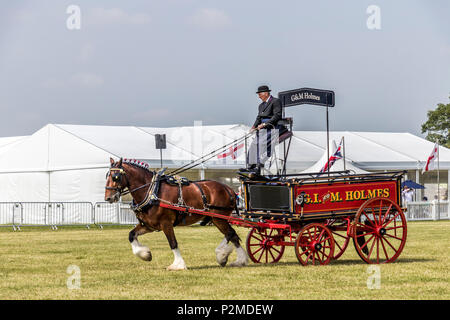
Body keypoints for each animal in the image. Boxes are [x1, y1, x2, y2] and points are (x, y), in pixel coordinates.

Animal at [103, 158, 248, 270]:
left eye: (116, 177)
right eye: (107, 176)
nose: (108, 198)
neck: (152, 191)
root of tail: (229, 189)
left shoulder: (166, 223)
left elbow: (173, 243)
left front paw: (178, 265)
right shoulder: (149, 226)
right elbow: (131, 235)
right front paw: (146, 254)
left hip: (219, 218)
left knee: (230, 234)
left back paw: (226, 256)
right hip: (216, 218)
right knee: (232, 235)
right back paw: (237, 260)